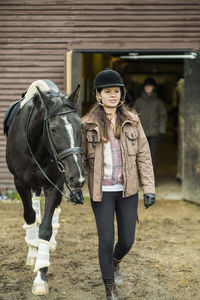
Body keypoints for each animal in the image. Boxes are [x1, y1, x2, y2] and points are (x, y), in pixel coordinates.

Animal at [4, 79, 85, 296]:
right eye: (54, 129)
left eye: (81, 126)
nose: (78, 177)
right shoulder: (20, 183)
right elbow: (30, 216)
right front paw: (34, 254)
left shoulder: (55, 183)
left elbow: (46, 228)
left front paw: (41, 276)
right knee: (33, 206)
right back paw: (32, 249)